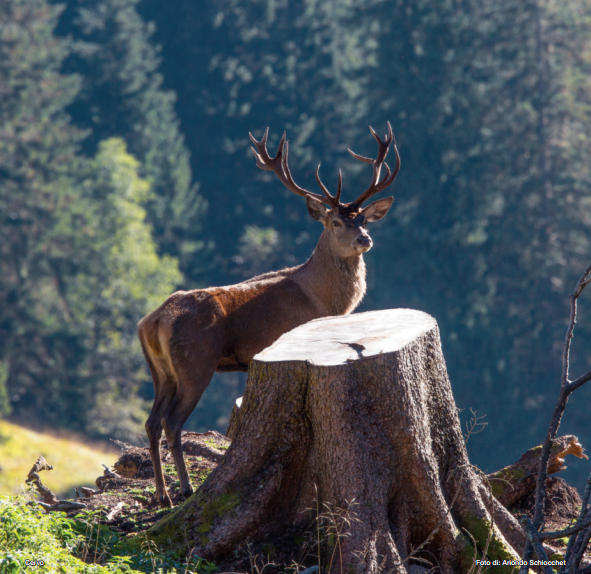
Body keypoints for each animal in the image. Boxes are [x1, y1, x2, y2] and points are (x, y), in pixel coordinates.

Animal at [136, 122, 400, 508]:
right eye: (335, 222)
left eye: (364, 219)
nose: (364, 239)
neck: (321, 299)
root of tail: (153, 321)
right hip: (195, 363)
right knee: (172, 422)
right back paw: (183, 489)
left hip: (160, 371)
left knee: (152, 422)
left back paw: (162, 495)